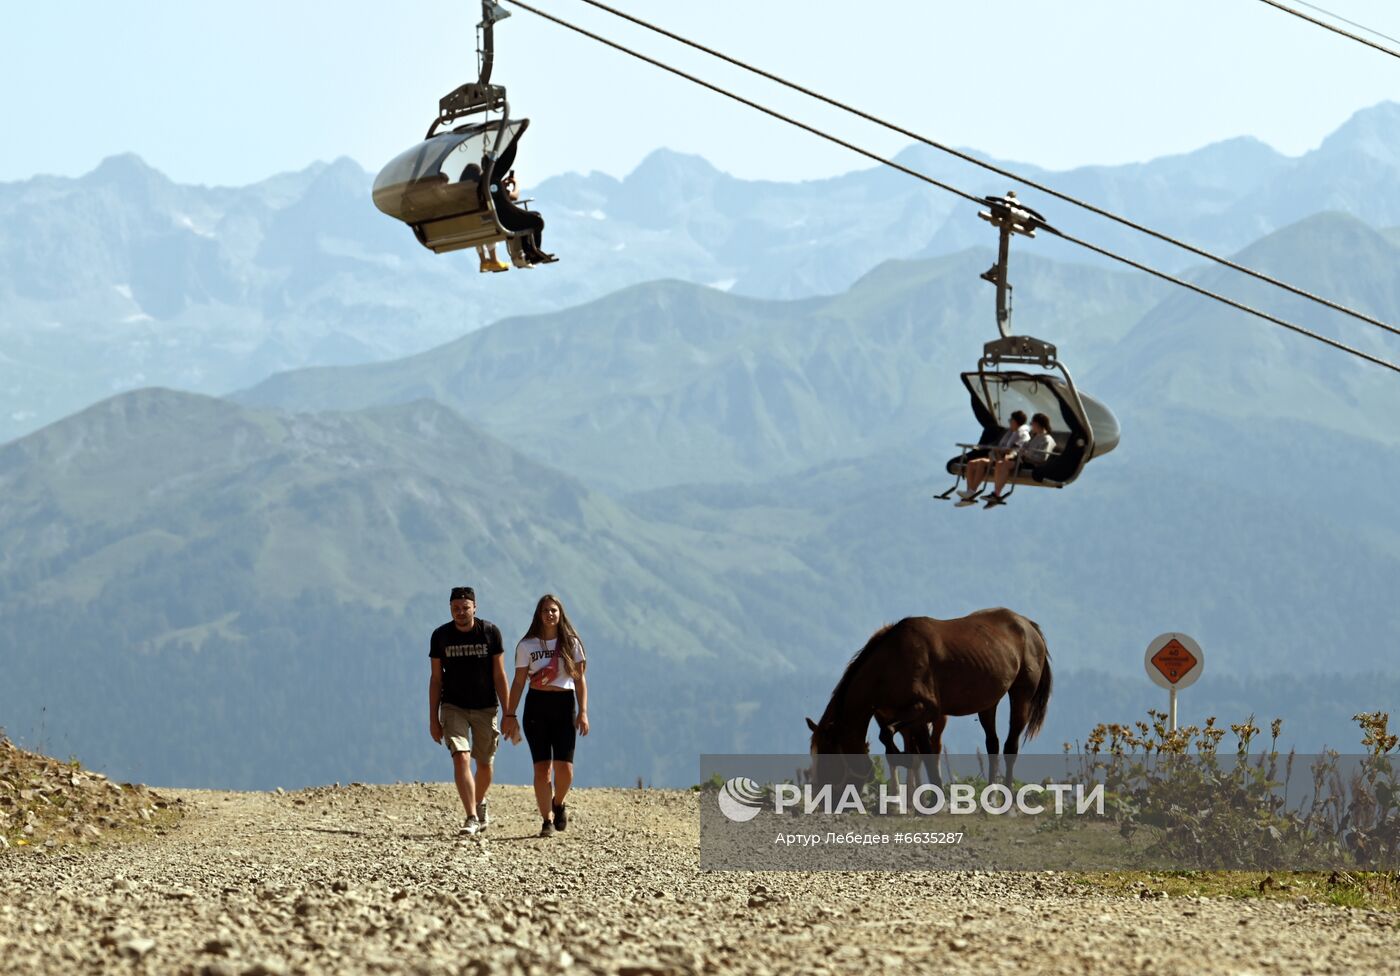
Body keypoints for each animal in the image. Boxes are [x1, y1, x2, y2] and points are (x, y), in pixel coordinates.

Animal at [812, 613, 1052, 789]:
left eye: (829, 756)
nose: (823, 798)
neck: (893, 661)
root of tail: (1027, 624)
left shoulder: (925, 710)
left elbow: (888, 734)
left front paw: (904, 760)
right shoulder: (916, 718)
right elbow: (925, 755)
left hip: (1021, 695)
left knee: (1010, 747)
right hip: (988, 704)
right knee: (992, 744)